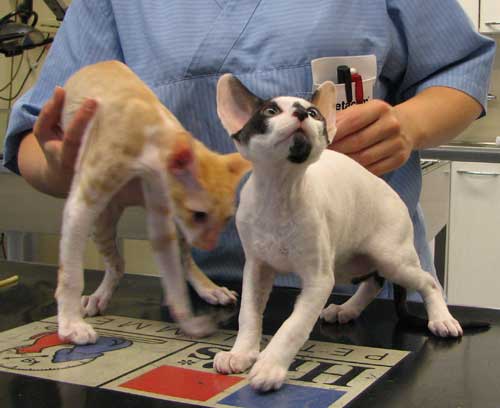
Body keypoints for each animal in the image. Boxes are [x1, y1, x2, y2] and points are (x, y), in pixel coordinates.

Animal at [55, 61, 250, 345]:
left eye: (227, 219)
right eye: (199, 215)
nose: (209, 244)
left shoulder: (163, 210)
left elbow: (173, 275)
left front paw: (188, 322)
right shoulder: (82, 203)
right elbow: (70, 273)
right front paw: (71, 324)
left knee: (181, 260)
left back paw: (208, 288)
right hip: (101, 219)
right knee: (117, 263)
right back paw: (98, 296)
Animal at [213, 74, 465, 392]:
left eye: (313, 113)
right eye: (270, 111)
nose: (301, 113)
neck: (279, 194)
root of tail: (393, 194)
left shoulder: (319, 280)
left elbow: (293, 327)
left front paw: (270, 365)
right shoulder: (257, 268)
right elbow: (248, 313)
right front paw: (241, 353)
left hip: (392, 257)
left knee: (427, 281)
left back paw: (442, 318)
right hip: (350, 261)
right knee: (373, 283)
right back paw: (346, 310)